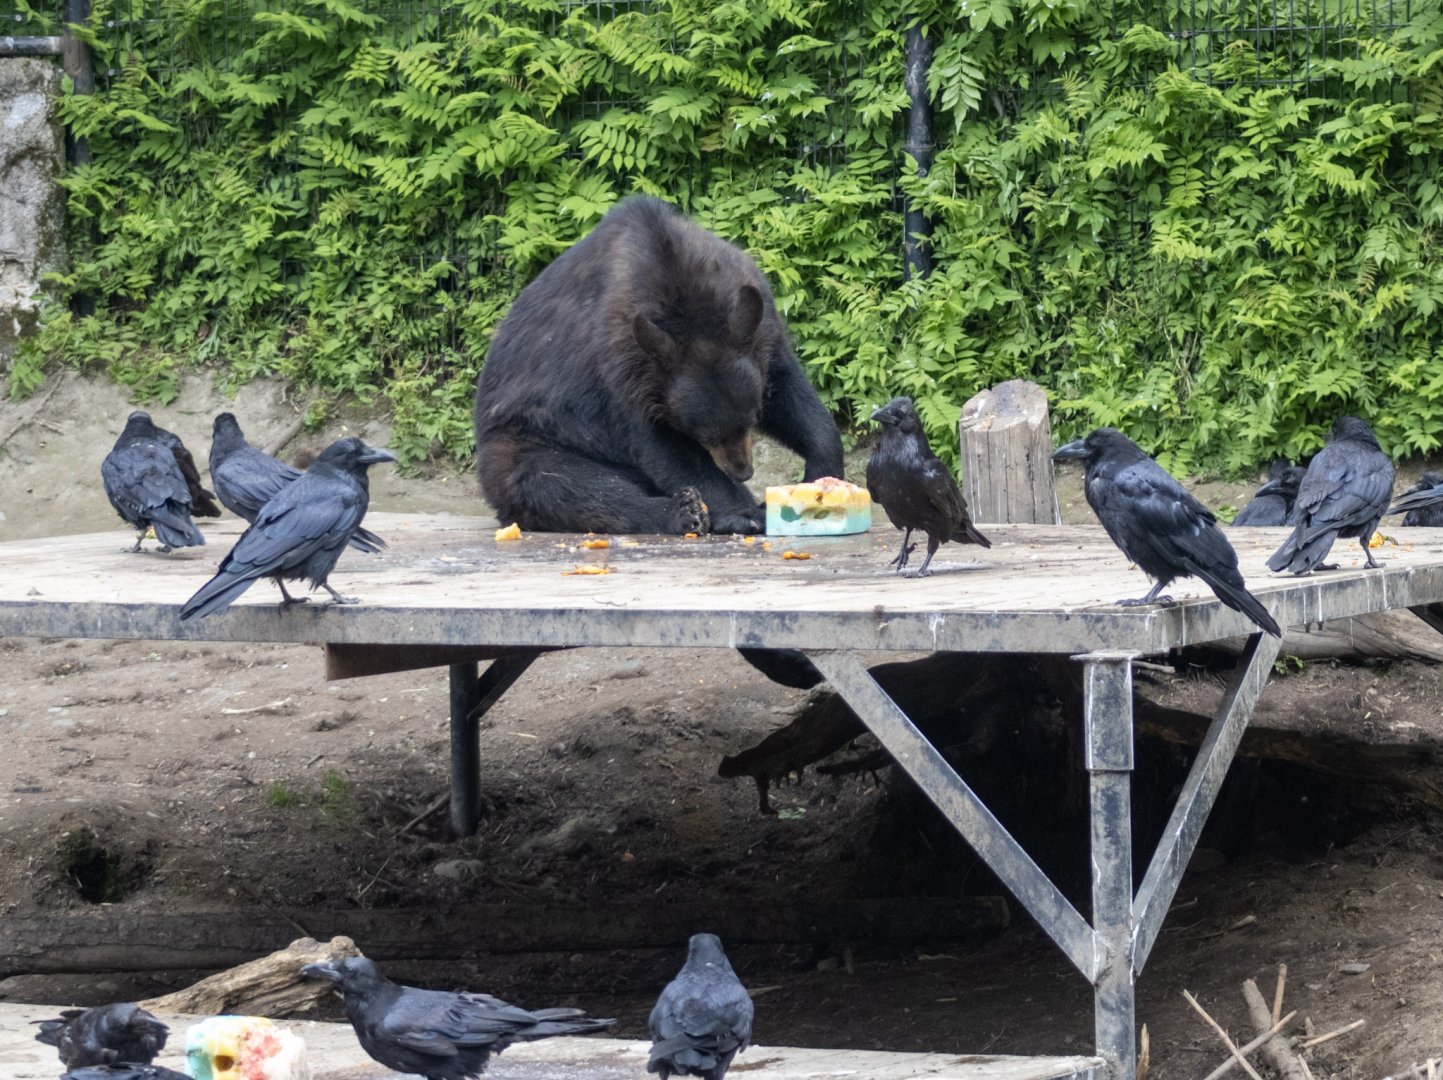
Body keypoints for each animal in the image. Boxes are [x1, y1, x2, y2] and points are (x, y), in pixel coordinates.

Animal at [473, 195, 845, 535]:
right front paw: (744, 512)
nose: (743, 471)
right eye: (703, 434)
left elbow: (790, 394)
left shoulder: (759, 327)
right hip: (529, 440)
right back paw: (683, 512)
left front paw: (820, 474)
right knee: (566, 486)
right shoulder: (621, 373)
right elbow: (666, 450)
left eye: (752, 418)